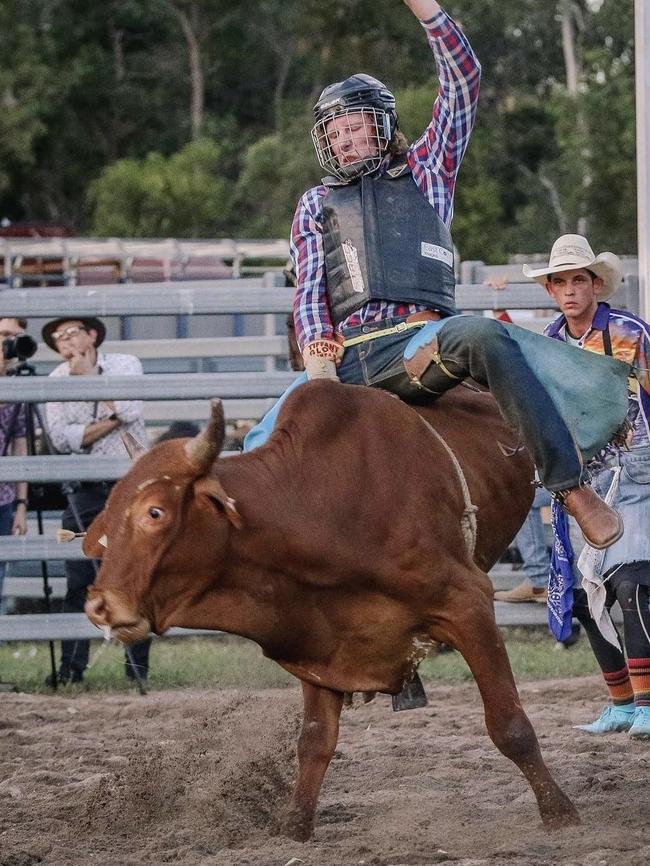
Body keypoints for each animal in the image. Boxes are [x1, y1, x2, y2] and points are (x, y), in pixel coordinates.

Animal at [82, 380, 576, 836]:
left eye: (154, 512)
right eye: (109, 515)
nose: (99, 605)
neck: (321, 506)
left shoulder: (468, 603)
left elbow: (509, 724)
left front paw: (558, 812)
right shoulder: (319, 638)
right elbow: (315, 740)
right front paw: (296, 825)